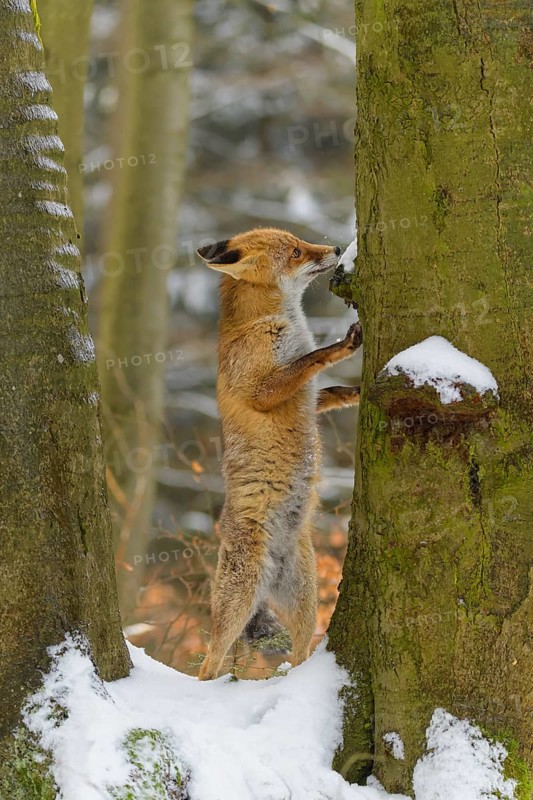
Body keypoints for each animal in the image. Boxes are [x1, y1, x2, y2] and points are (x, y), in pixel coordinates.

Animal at [196, 228, 362, 680]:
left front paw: (358, 393)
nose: (336, 249)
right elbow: (309, 361)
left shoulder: (308, 397)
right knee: (210, 662)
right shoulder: (262, 390)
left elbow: (328, 391)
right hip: (238, 602)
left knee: (302, 652)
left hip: (305, 601)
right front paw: (341, 347)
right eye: (296, 252)